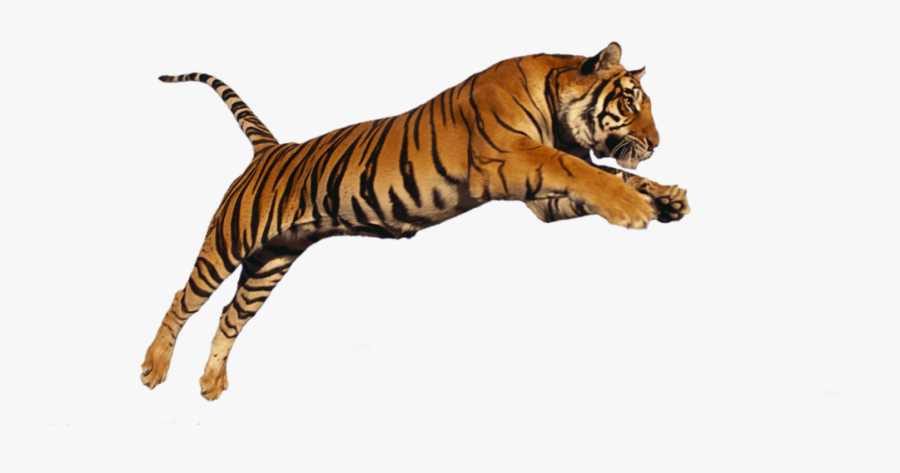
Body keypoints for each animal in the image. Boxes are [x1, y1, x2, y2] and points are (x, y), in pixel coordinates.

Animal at [141, 42, 690, 400]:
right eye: (629, 102)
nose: (656, 143)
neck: (557, 111)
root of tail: (271, 149)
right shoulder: (514, 160)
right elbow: (587, 171)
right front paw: (635, 208)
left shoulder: (542, 202)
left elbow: (615, 174)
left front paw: (667, 199)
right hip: (228, 241)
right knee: (183, 298)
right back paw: (153, 368)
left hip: (272, 260)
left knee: (230, 315)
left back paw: (211, 384)